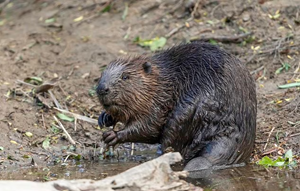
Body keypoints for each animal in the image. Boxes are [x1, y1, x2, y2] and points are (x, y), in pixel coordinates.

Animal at [97, 41, 256, 170]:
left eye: (125, 76)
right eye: (102, 74)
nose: (102, 89)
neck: (165, 79)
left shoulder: (160, 101)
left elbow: (151, 126)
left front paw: (112, 135)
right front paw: (104, 118)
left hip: (188, 112)